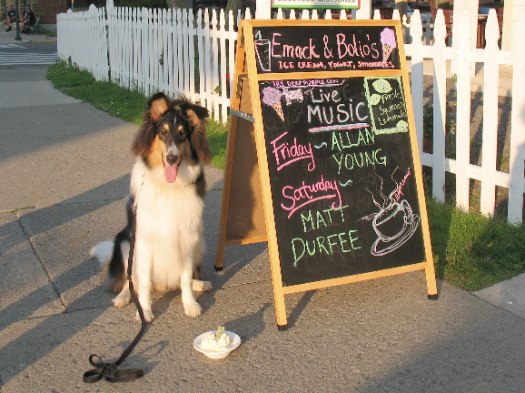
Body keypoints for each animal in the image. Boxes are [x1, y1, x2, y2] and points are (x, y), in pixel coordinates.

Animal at [89, 92, 211, 322]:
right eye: (162, 133)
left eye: (182, 134)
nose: (171, 158)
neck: (169, 186)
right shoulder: (144, 241)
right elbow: (143, 282)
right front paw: (144, 311)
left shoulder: (187, 237)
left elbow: (185, 278)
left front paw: (190, 304)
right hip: (125, 243)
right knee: (130, 281)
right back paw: (123, 297)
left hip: (199, 242)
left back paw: (200, 284)